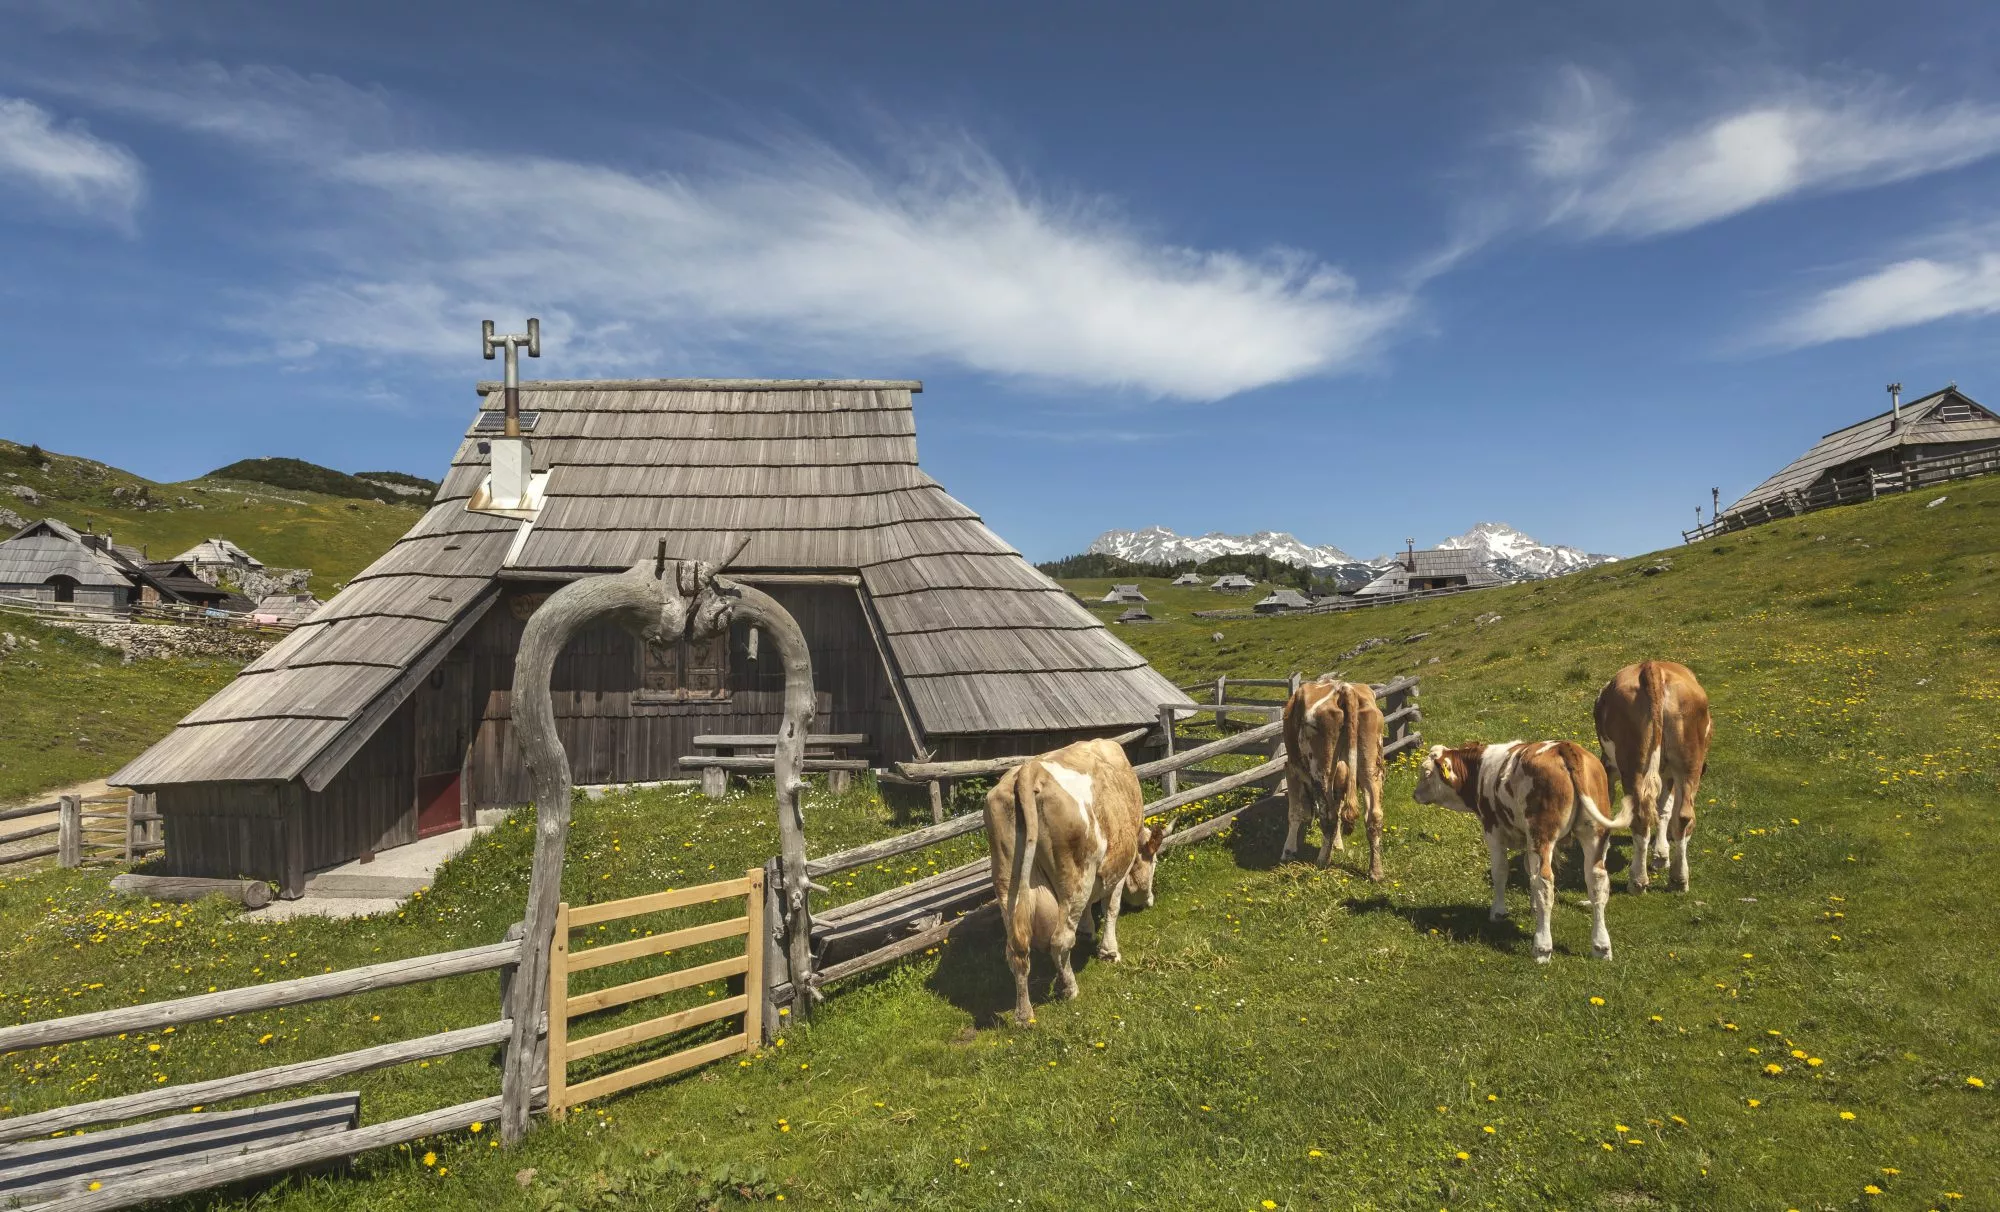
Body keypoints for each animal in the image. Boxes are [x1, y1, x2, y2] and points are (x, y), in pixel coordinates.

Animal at [988, 740, 1168, 1024]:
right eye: (1155, 861)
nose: (1149, 900)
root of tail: (1030, 771)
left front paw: (1086, 931)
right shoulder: (1118, 867)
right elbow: (1111, 908)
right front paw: (1109, 952)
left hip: (1008, 883)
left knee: (1016, 950)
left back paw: (1023, 1015)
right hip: (1076, 876)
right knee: (1060, 940)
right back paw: (1069, 989)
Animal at [1280, 680, 1392, 880]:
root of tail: (1345, 688)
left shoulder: (1292, 769)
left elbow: (1295, 813)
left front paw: (1288, 850)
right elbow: (1339, 810)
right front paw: (1338, 845)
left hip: (1321, 768)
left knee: (1329, 815)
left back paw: (1322, 861)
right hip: (1370, 765)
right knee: (1374, 815)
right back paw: (1376, 872)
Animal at [1408, 740, 1624, 968]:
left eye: (1426, 773)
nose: (1415, 794)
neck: (1480, 770)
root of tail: (1564, 746)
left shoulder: (1493, 830)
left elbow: (1500, 872)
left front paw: (1498, 911)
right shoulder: (1526, 841)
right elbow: (1529, 873)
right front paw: (1535, 909)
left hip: (1542, 834)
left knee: (1544, 882)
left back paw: (1542, 948)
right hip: (1594, 833)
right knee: (1597, 881)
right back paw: (1601, 946)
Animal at [1592, 660, 1720, 896]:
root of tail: (1652, 666)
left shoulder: (1608, 765)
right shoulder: (1668, 775)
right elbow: (1664, 809)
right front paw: (1661, 855)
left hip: (1634, 764)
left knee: (1641, 817)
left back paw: (1637, 881)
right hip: (1688, 764)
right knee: (1683, 816)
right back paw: (1679, 879)